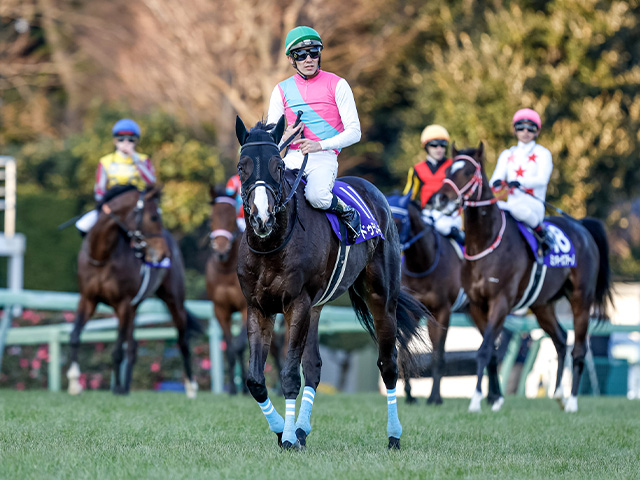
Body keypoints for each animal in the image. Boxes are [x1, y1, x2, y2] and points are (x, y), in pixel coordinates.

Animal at [66, 184, 199, 398]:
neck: (102, 256)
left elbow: (117, 349)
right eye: (154, 217)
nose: (164, 254)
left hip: (174, 300)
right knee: (133, 346)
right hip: (135, 307)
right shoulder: (88, 299)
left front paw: (117, 388)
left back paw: (191, 386)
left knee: (183, 340)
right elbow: (75, 336)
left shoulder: (123, 304)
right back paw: (126, 385)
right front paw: (74, 383)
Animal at [206, 186, 284, 396]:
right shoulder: (220, 310)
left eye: (232, 217)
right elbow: (230, 347)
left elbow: (240, 345)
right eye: (212, 216)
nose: (221, 250)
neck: (226, 269)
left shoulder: (244, 306)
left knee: (278, 346)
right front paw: (234, 388)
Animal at [384, 192, 464, 404]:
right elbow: (403, 349)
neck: (422, 265)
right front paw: (410, 394)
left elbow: (438, 355)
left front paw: (435, 397)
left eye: (399, 221)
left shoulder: (441, 312)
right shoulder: (412, 312)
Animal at [432, 145, 612, 412]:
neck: (485, 243)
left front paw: (476, 400)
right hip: (542, 305)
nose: (440, 199)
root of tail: (581, 226)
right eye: (447, 170)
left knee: (579, 348)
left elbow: (484, 350)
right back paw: (558, 394)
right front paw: (495, 399)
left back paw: (571, 401)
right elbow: (491, 351)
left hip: (581, 299)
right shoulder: (476, 305)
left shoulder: (501, 302)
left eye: (467, 171)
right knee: (561, 339)